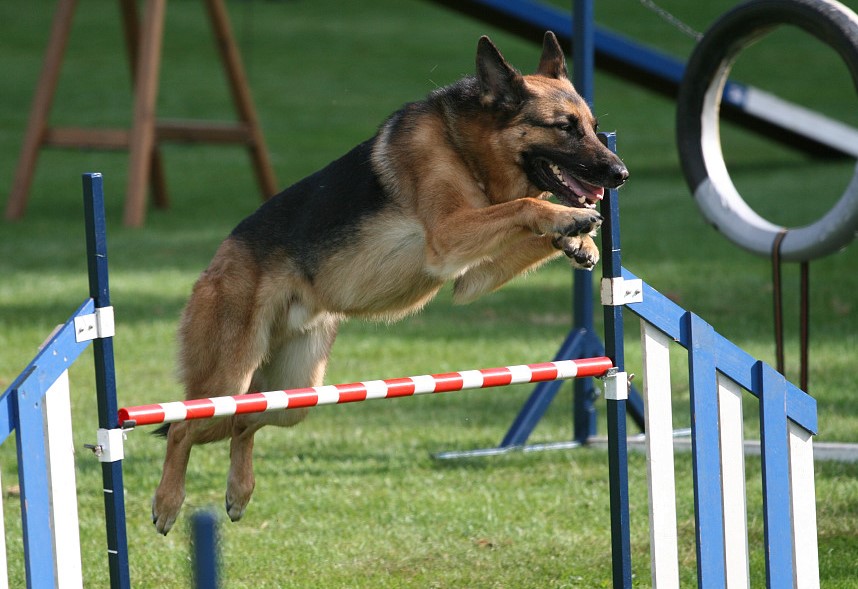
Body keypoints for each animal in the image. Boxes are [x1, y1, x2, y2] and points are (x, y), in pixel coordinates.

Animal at [152, 31, 620, 532]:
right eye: (564, 127)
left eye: (593, 126)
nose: (620, 174)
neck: (464, 149)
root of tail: (215, 263)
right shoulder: (449, 239)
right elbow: (524, 207)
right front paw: (568, 218)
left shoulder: (471, 274)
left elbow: (525, 222)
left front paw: (577, 239)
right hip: (228, 380)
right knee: (181, 428)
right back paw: (167, 502)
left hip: (294, 393)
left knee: (241, 424)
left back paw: (239, 492)